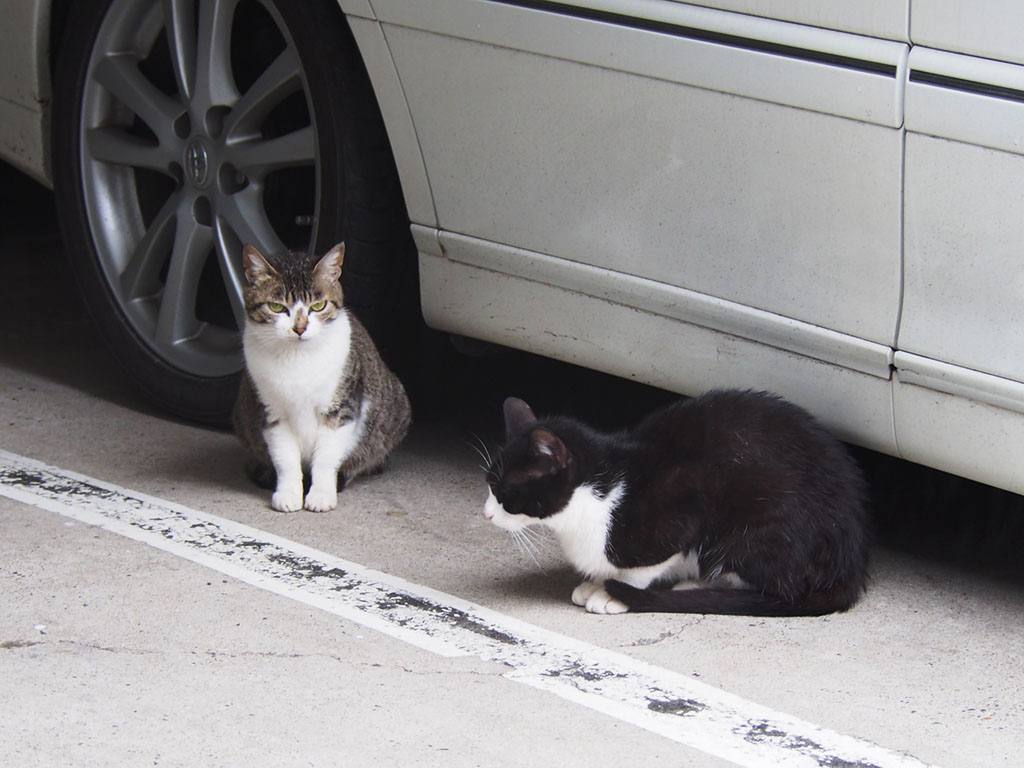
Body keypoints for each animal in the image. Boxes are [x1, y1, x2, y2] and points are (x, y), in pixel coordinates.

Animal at [234, 243, 409, 514]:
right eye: (276, 307)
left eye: (318, 306)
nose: (299, 328)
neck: (296, 358)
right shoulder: (272, 413)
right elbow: (285, 459)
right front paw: (288, 493)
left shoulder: (340, 410)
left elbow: (326, 458)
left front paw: (321, 494)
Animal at [483, 393, 868, 618]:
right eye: (489, 483)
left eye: (506, 491)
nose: (486, 513)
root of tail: (850, 564)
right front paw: (598, 582)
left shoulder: (682, 505)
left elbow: (644, 565)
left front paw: (613, 592)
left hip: (757, 520)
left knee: (775, 585)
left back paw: (698, 586)